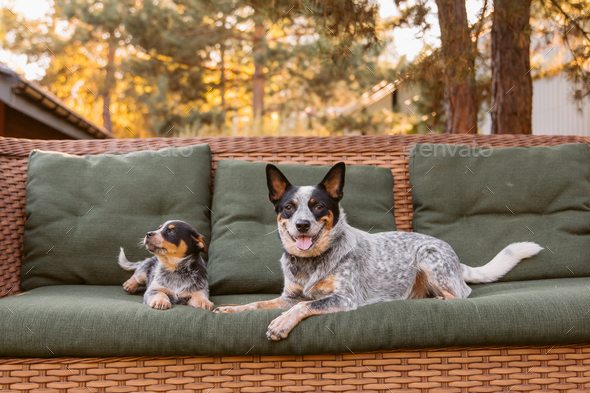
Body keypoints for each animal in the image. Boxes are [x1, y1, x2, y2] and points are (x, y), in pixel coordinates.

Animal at [214, 162, 544, 340]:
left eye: (318, 206)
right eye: (288, 208)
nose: (303, 225)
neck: (311, 262)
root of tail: (456, 258)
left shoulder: (344, 298)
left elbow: (304, 307)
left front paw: (281, 324)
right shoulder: (288, 296)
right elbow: (259, 303)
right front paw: (232, 309)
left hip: (429, 257)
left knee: (461, 295)